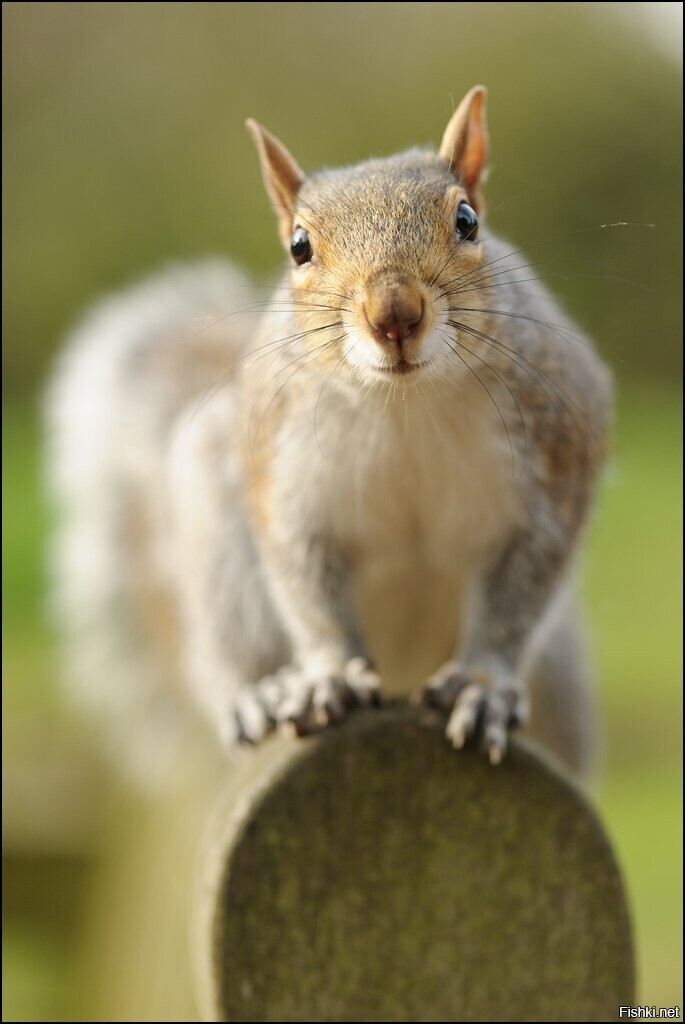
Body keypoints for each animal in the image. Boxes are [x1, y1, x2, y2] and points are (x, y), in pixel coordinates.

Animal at [49, 88, 614, 778]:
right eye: (299, 247)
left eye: (467, 221)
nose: (394, 314)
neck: (403, 404)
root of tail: (403, 668)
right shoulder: (282, 484)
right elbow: (308, 592)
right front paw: (329, 675)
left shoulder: (557, 458)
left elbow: (518, 598)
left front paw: (482, 686)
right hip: (221, 544)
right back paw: (260, 692)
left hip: (558, 676)